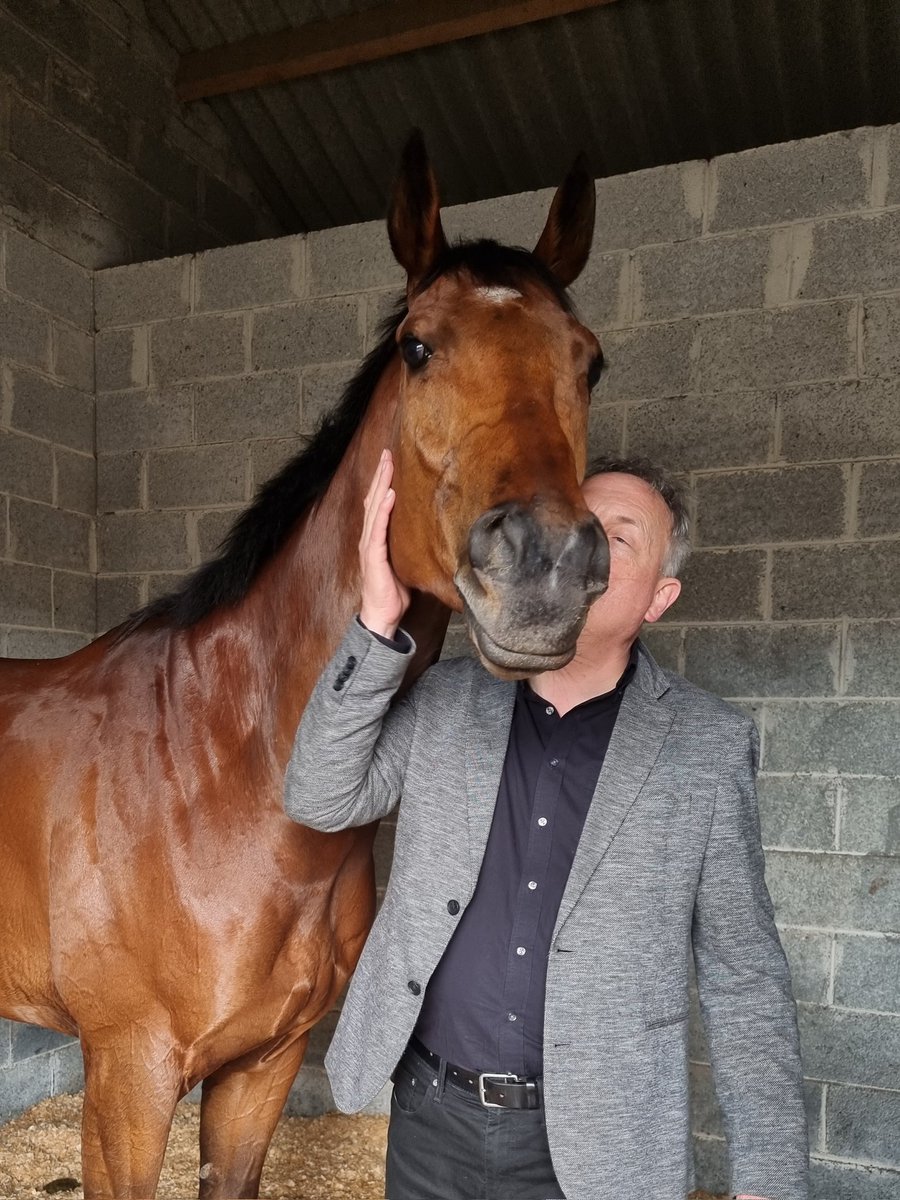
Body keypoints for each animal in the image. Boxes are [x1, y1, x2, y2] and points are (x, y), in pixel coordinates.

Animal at [0, 132, 608, 1199]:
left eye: (591, 363)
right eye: (418, 347)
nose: (546, 569)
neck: (217, 773)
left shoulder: (262, 1068)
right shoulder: (127, 1078)